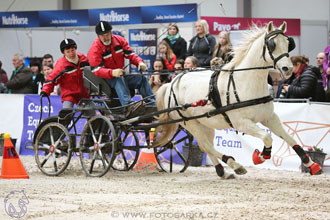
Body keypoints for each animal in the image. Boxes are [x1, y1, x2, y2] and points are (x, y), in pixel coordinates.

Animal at [154, 21, 322, 179]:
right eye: (272, 44)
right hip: (190, 123)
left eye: (288, 43)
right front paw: (260, 156)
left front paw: (311, 164)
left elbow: (290, 138)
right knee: (206, 145)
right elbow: (267, 137)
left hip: (206, 123)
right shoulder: (241, 123)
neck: (246, 82)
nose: (288, 69)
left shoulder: (269, 118)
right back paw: (234, 165)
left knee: (205, 145)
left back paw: (222, 171)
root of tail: (171, 83)